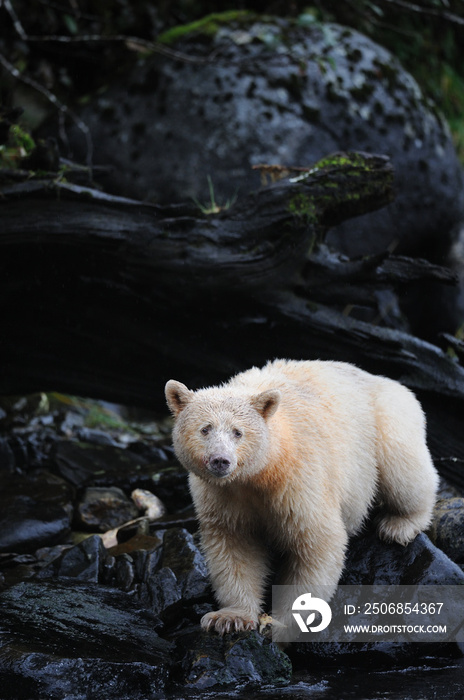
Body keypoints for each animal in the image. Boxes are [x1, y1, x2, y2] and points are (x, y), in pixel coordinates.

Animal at [166, 358, 438, 636]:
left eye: (237, 432)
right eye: (205, 429)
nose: (220, 460)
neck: (262, 472)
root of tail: (381, 378)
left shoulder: (299, 480)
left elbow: (318, 542)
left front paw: (286, 624)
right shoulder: (222, 496)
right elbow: (234, 546)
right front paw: (230, 618)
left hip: (384, 420)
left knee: (402, 468)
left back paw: (400, 525)